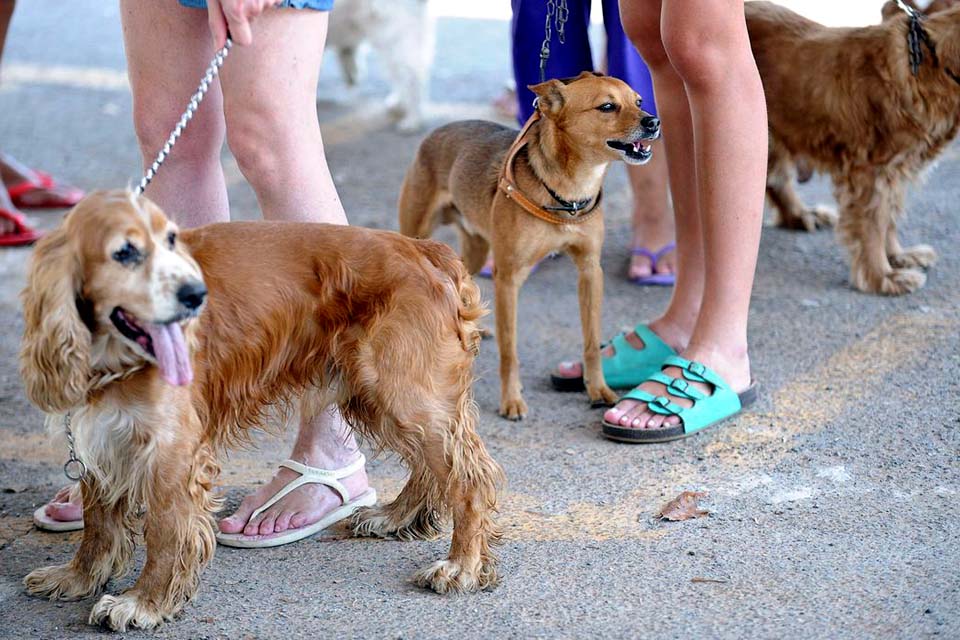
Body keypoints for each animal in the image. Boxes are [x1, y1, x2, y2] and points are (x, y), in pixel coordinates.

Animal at [18, 190, 506, 632]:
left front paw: (144, 603)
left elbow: (164, 531)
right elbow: (97, 523)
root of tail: (424, 249)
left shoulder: (172, 450)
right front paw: (77, 577)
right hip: (379, 394)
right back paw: (397, 517)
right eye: (124, 251)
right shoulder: (103, 435)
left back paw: (461, 565)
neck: (113, 355)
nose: (197, 295)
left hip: (400, 390)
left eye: (171, 240)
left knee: (468, 477)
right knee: (431, 466)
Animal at [398, 72, 660, 420]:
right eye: (607, 107)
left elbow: (591, 342)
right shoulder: (508, 279)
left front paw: (598, 389)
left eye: (639, 101)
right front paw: (511, 400)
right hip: (418, 233)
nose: (654, 121)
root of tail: (436, 132)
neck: (569, 192)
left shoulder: (590, 271)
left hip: (477, 248)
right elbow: (510, 350)